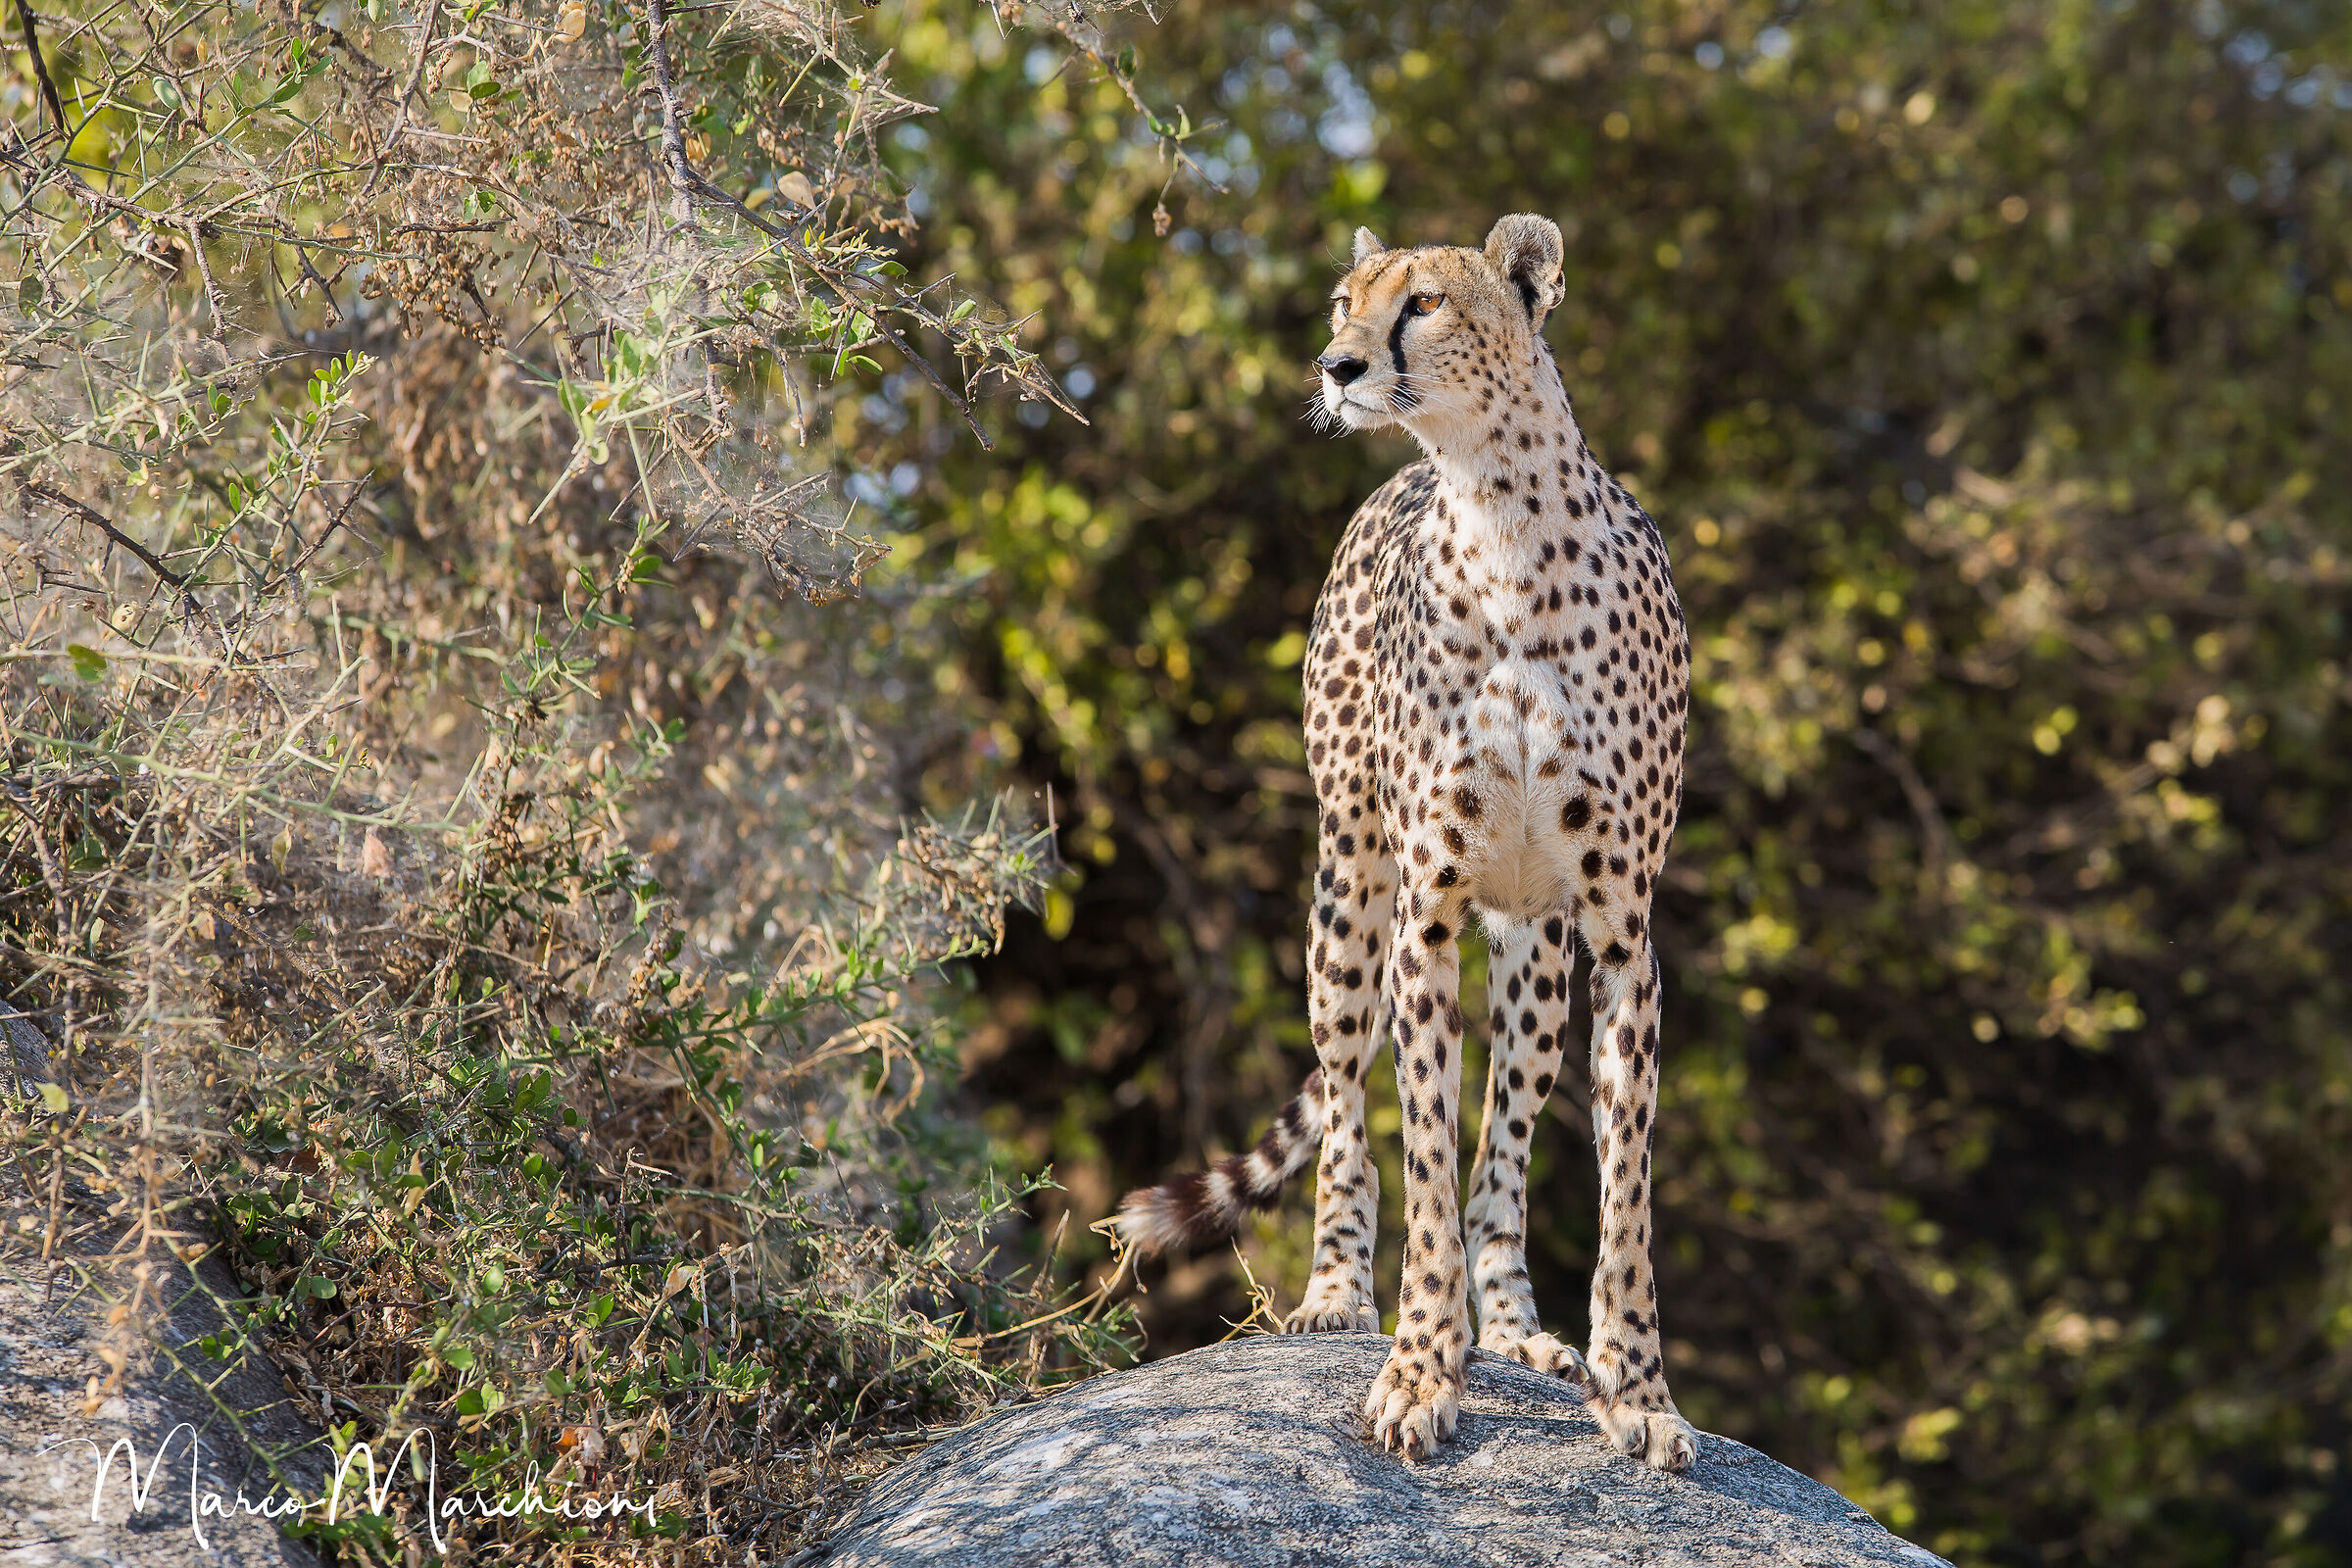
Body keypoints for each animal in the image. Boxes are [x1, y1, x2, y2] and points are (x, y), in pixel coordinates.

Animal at [1112, 213, 1700, 1470]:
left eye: (1424, 303)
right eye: (1346, 302)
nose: (1336, 366)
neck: (1499, 514)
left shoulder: (1621, 932)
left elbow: (1619, 1189)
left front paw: (1637, 1391)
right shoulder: (1423, 912)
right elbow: (1421, 1145)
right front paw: (1422, 1366)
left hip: (1536, 951)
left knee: (1505, 1149)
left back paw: (1516, 1328)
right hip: (1347, 887)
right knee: (1345, 1102)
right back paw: (1339, 1293)